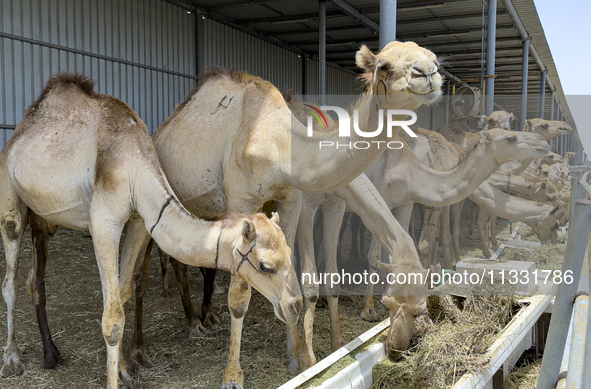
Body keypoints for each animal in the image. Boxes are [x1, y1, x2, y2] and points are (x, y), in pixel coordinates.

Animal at [0, 73, 300, 388]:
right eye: (266, 265)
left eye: (288, 254)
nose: (295, 305)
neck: (134, 168)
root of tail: (18, 133)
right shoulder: (104, 221)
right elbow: (111, 316)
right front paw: (117, 377)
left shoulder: (139, 222)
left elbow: (121, 295)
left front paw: (124, 370)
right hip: (9, 192)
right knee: (11, 276)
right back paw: (13, 360)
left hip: (43, 218)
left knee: (33, 278)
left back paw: (51, 354)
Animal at [126, 41, 444, 372]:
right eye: (383, 66)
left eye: (420, 309)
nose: (428, 73)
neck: (278, 143)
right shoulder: (244, 201)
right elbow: (240, 297)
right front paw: (235, 374)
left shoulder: (290, 200)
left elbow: (292, 273)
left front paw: (299, 356)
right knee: (144, 274)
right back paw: (146, 348)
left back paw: (199, 319)